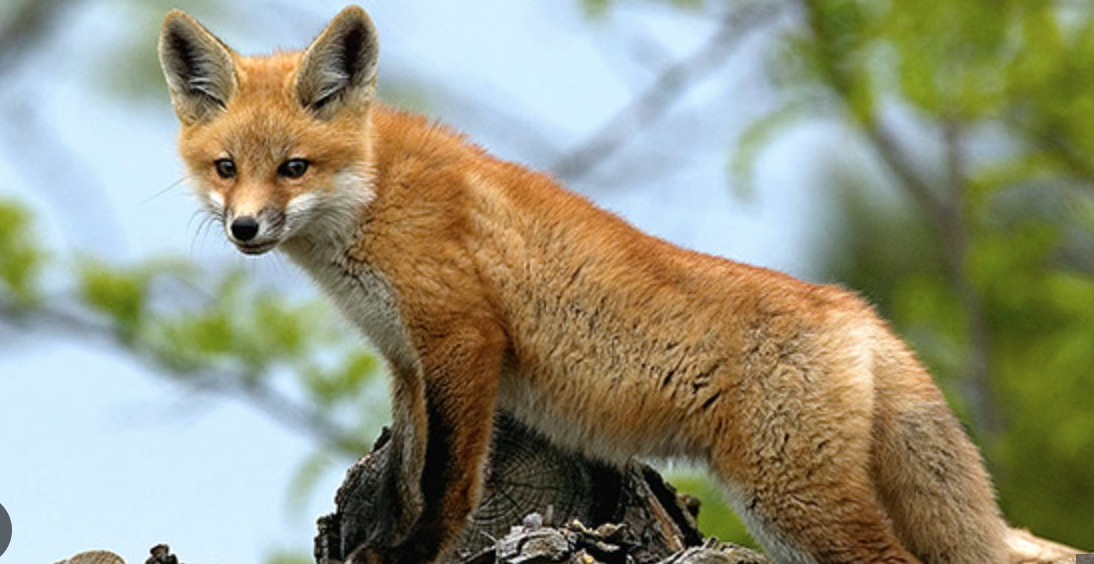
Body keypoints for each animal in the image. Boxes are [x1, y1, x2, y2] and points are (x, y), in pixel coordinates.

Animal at [158, 6, 1081, 564]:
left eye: (294, 167)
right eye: (226, 168)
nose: (245, 229)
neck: (375, 196)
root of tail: (854, 311)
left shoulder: (463, 336)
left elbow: (448, 482)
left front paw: (417, 552)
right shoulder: (408, 361)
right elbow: (409, 472)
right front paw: (385, 537)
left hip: (789, 497)